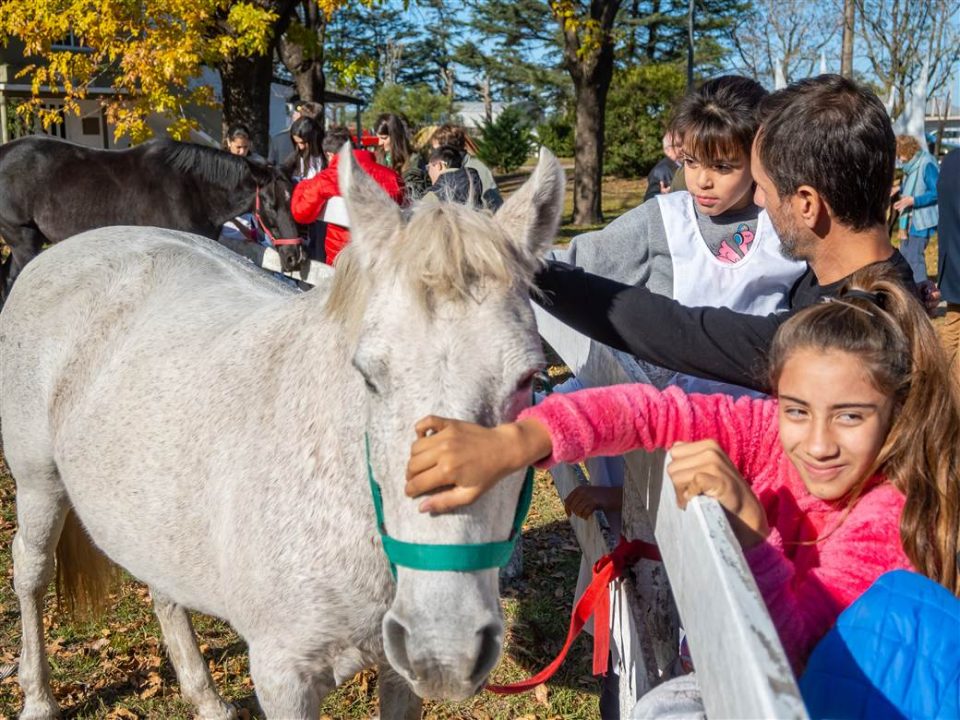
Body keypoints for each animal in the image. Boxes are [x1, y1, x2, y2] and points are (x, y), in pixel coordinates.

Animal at [0, 149, 568, 716]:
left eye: (529, 379)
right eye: (368, 376)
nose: (445, 647)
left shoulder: (399, 674)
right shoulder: (282, 678)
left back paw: (206, 698)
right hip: (38, 483)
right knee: (30, 570)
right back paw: (38, 697)